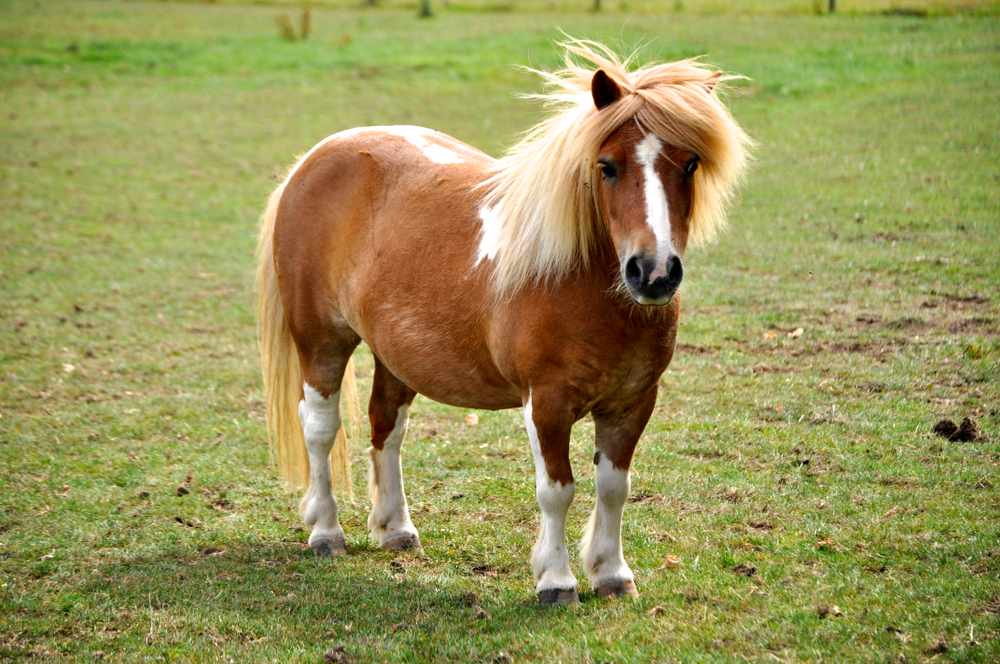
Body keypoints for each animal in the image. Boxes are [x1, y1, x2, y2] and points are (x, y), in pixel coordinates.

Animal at [256, 40, 751, 606]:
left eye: (690, 164)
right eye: (607, 166)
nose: (654, 272)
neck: (581, 283)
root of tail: (314, 158)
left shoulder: (631, 404)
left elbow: (613, 488)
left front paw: (611, 574)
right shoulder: (547, 404)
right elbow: (558, 490)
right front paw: (556, 580)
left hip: (395, 355)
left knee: (387, 426)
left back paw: (395, 529)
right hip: (321, 341)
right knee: (319, 428)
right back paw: (326, 533)